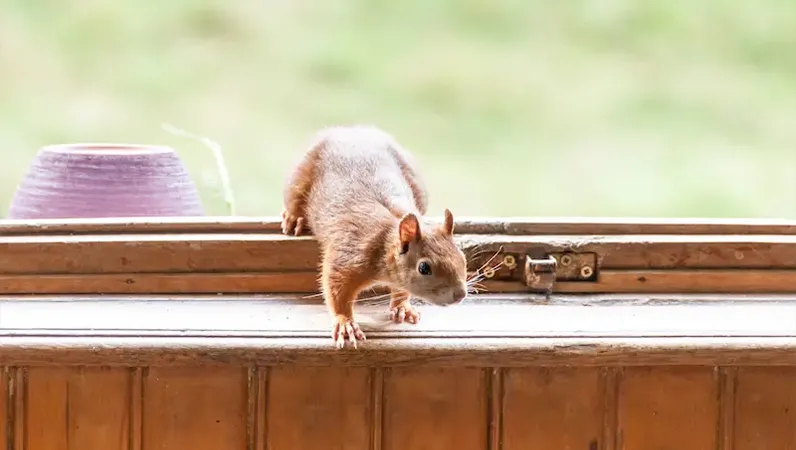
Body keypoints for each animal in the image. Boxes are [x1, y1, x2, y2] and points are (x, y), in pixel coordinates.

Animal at [281, 125, 468, 349]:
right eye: (424, 268)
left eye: (462, 258)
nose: (460, 295)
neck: (385, 238)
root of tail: (350, 130)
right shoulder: (350, 253)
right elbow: (336, 289)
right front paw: (345, 323)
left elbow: (401, 290)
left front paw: (402, 306)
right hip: (298, 177)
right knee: (294, 200)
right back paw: (294, 218)